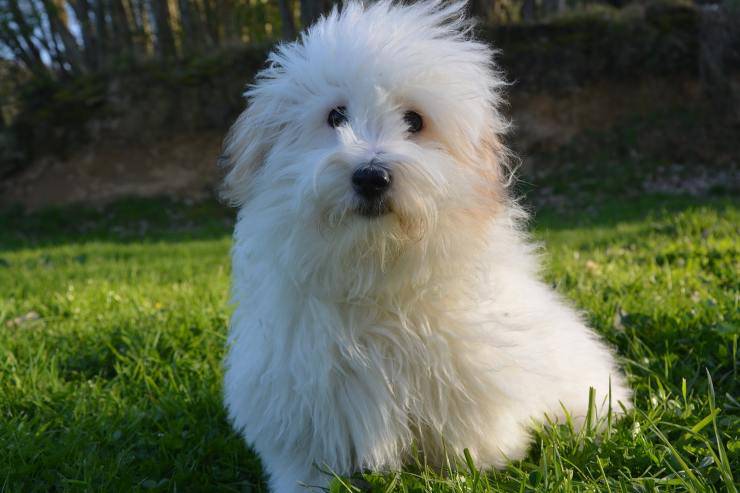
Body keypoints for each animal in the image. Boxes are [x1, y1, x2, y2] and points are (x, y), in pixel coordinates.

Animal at [220, 1, 632, 490]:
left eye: (415, 121)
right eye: (336, 116)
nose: (371, 176)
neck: (373, 267)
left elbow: (466, 441)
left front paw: (469, 468)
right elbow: (306, 460)